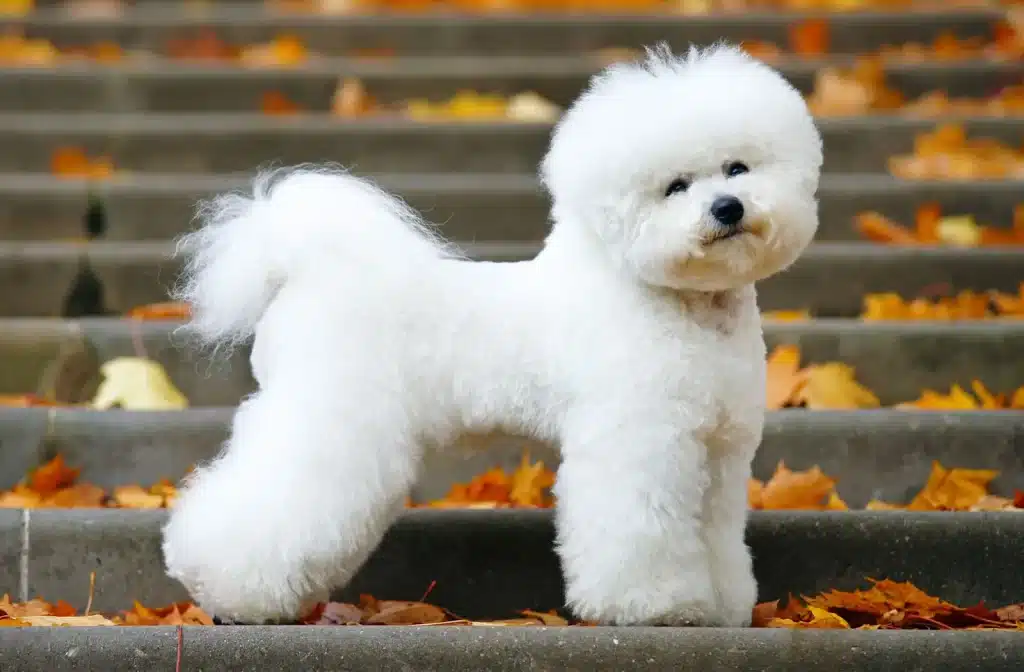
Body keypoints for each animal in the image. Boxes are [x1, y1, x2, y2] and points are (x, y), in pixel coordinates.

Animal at [161, 44, 823, 626]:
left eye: (737, 167)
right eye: (675, 187)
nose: (729, 208)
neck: (683, 306)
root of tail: (301, 270)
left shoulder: (718, 450)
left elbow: (717, 533)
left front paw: (724, 606)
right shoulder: (641, 441)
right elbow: (640, 527)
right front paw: (655, 607)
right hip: (332, 417)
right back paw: (231, 591)